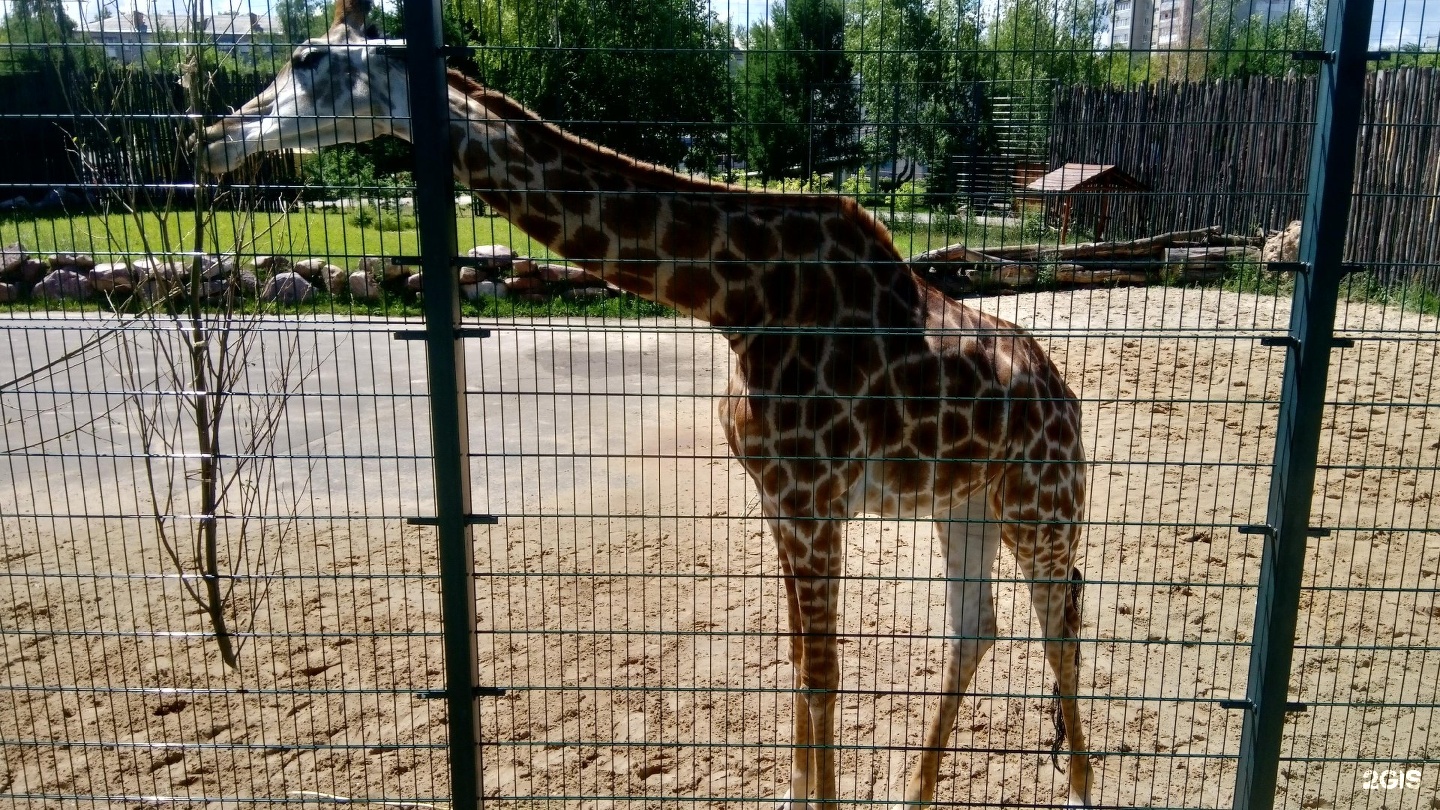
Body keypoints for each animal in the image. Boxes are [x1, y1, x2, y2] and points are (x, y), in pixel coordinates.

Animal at [200, 0, 1088, 801]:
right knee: (977, 626)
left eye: (308, 58)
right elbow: (799, 664)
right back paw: (920, 793)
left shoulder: (813, 495)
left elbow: (823, 674)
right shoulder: (780, 498)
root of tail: (1064, 397)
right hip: (963, 503)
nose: (212, 136)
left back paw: (1079, 786)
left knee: (1062, 617)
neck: (738, 299)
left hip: (1038, 502)